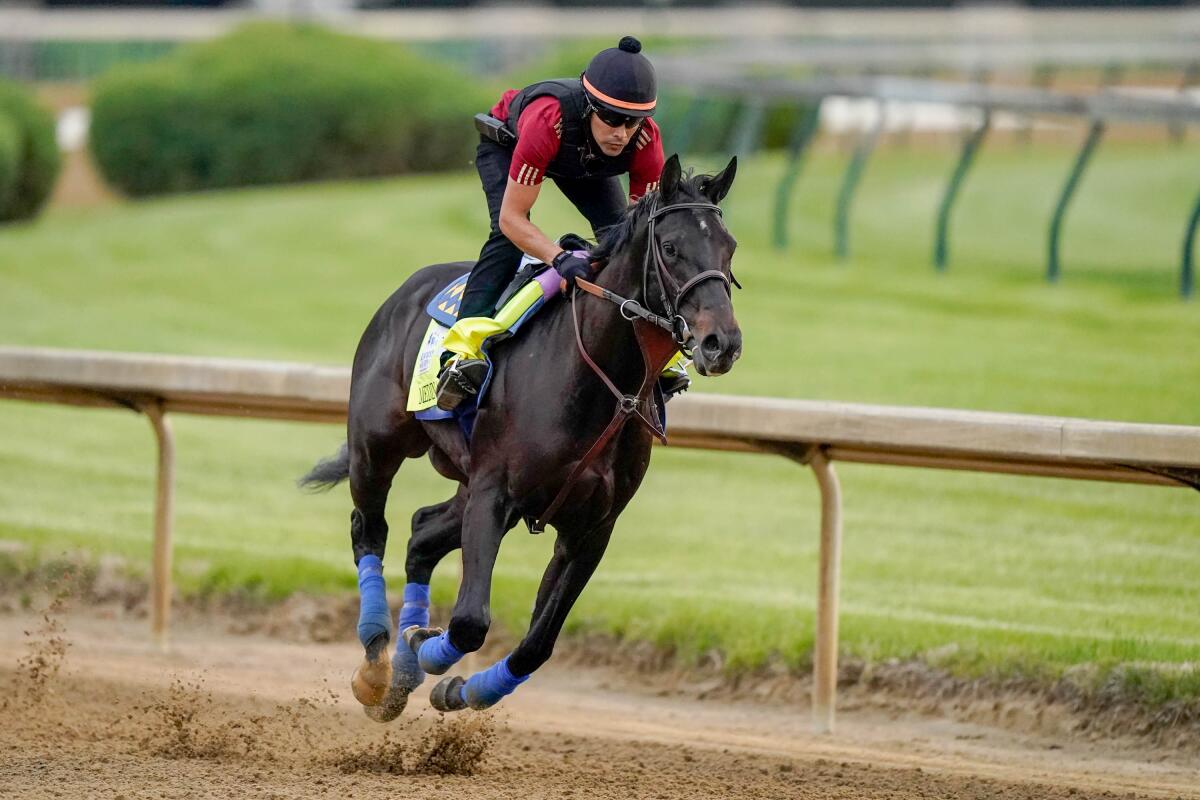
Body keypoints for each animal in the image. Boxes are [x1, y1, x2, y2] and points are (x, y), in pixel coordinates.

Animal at [300, 153, 739, 714]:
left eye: (729, 247)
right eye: (671, 248)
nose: (721, 343)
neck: (598, 381)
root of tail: (408, 289)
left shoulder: (591, 528)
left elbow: (537, 644)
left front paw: (459, 686)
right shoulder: (495, 495)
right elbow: (469, 622)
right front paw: (428, 650)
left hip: (464, 481)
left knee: (421, 531)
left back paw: (401, 671)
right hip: (376, 448)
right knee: (368, 528)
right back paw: (378, 662)